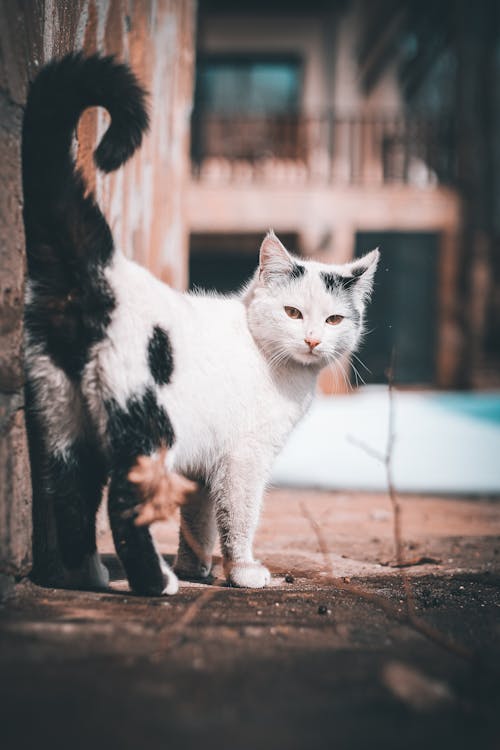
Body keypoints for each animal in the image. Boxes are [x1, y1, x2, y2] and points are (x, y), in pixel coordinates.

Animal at [21, 53, 376, 596]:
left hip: (62, 416)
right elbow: (240, 517)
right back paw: (154, 583)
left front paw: (196, 566)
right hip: (143, 423)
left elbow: (199, 518)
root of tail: (105, 272)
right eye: (294, 313)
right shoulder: (244, 457)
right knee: (122, 503)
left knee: (71, 493)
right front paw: (243, 571)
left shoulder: (203, 461)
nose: (314, 339)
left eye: (335, 318)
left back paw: (87, 577)